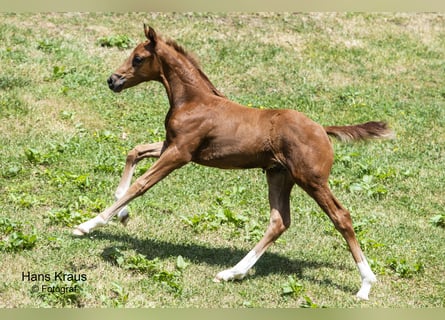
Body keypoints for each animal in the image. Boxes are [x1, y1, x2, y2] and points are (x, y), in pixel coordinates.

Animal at [73, 25, 392, 300]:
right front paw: (122, 213)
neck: (194, 101)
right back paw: (232, 273)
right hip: (278, 175)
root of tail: (324, 129)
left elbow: (141, 184)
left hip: (311, 180)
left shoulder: (180, 153)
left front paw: (89, 224)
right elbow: (135, 151)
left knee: (341, 217)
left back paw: (365, 285)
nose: (113, 80)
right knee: (279, 221)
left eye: (138, 58)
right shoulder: (170, 145)